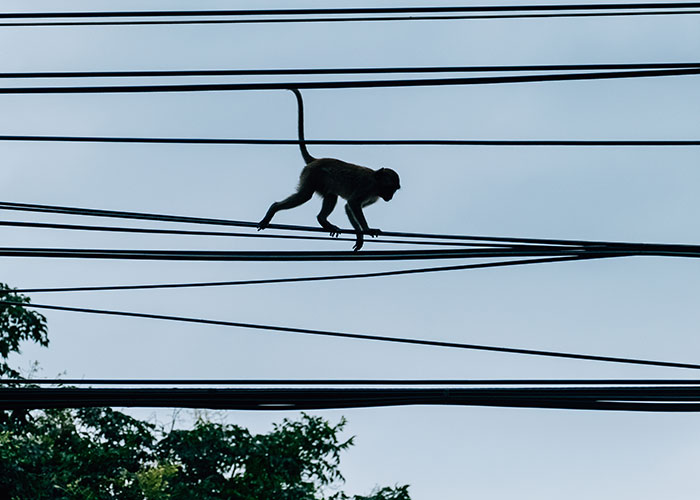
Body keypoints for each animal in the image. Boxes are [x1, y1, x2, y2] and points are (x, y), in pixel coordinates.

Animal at [257, 88, 401, 251]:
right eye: (391, 188)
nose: (390, 197)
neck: (376, 181)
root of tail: (316, 160)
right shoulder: (368, 186)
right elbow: (353, 203)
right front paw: (367, 229)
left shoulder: (374, 196)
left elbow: (348, 206)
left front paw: (360, 235)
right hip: (311, 175)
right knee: (305, 195)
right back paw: (274, 208)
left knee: (331, 195)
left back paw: (323, 221)